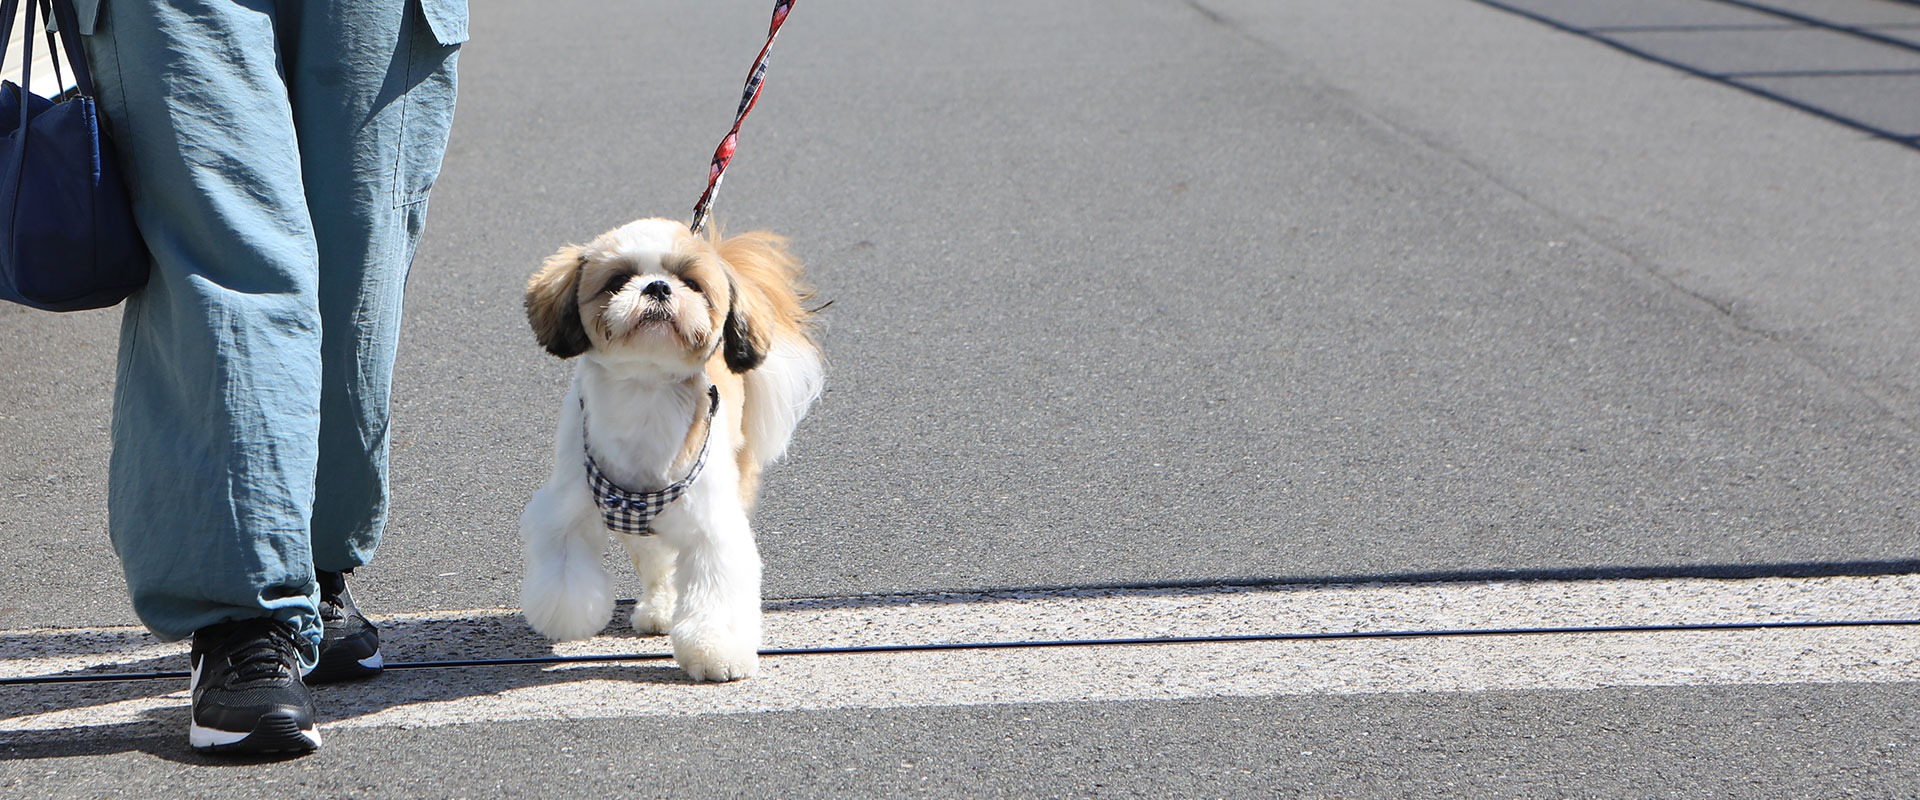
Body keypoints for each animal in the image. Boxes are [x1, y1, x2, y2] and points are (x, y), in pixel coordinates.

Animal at [522, 216, 821, 679]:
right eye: (618, 281)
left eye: (692, 284)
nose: (658, 287)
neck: (645, 398)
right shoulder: (565, 509)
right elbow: (564, 574)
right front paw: (569, 616)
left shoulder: (713, 526)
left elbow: (716, 592)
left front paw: (715, 651)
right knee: (657, 561)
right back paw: (660, 609)